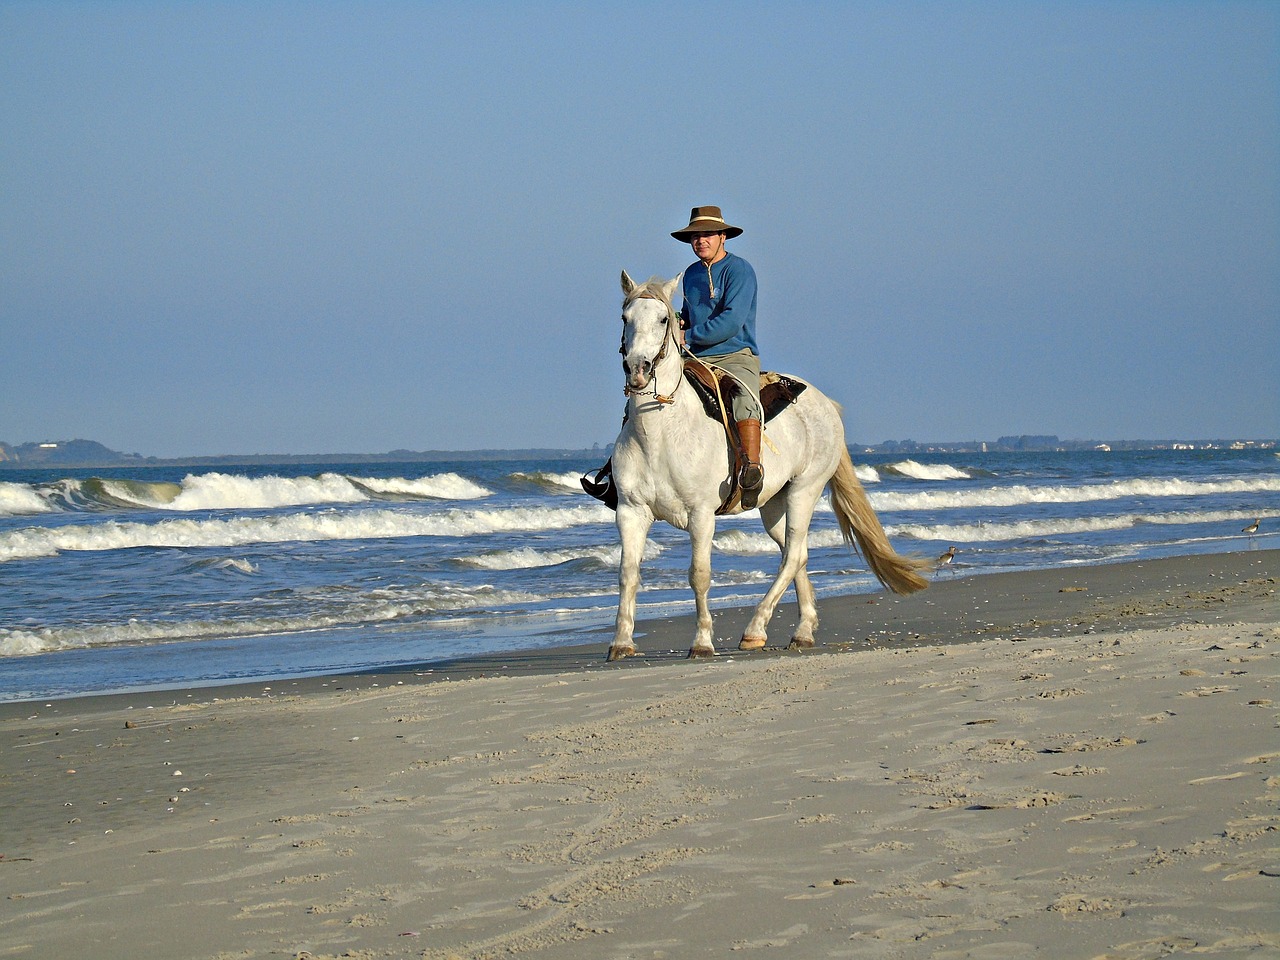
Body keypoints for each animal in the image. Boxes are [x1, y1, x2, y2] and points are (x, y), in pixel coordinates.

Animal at [604, 272, 926, 660]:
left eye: (664, 319)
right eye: (625, 318)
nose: (637, 369)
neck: (660, 434)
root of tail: (827, 404)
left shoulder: (701, 515)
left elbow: (699, 574)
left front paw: (702, 642)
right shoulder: (631, 512)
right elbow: (627, 573)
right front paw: (621, 642)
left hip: (805, 490)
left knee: (792, 556)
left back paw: (755, 630)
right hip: (773, 505)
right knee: (796, 552)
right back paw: (802, 632)